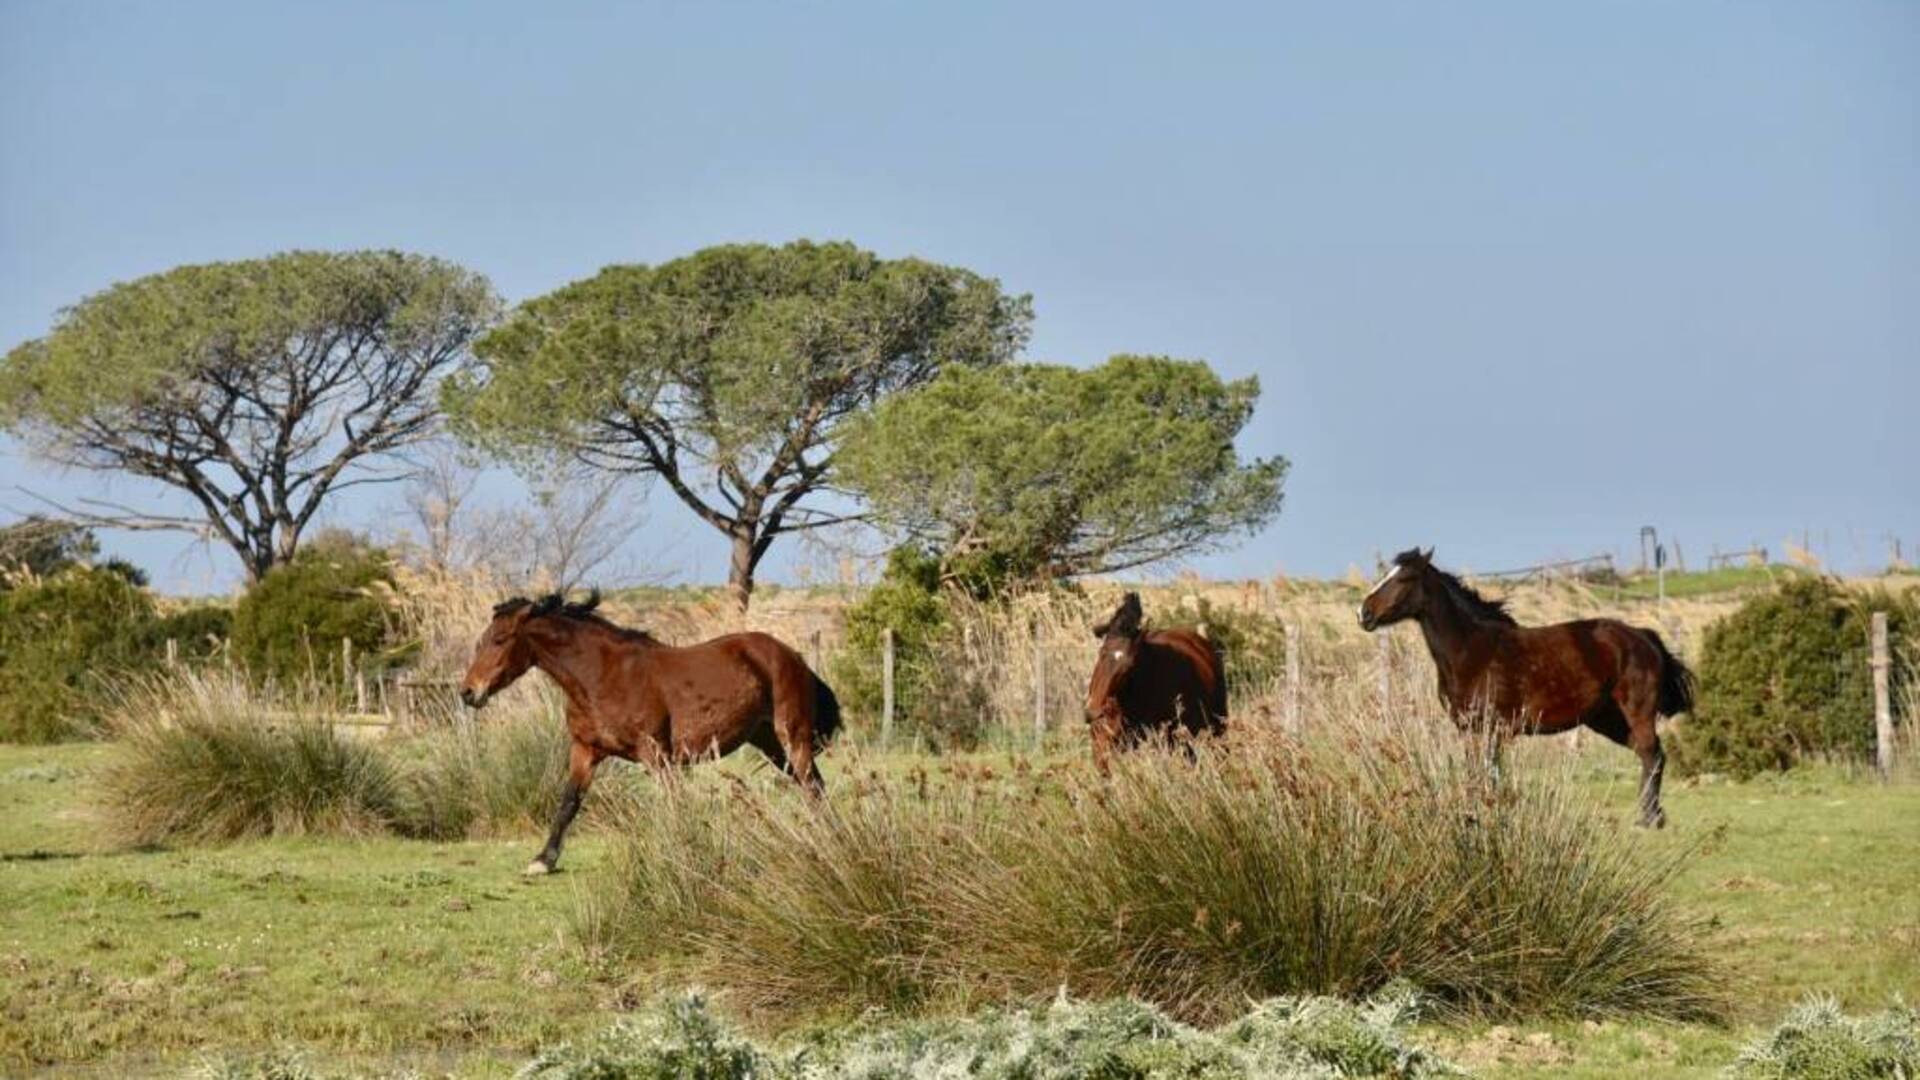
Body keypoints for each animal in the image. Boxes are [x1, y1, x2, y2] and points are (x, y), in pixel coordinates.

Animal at [456, 588, 840, 876]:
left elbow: (673, 806)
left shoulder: (656, 755)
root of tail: (792, 655)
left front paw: (682, 853)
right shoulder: (584, 750)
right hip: (769, 743)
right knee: (811, 785)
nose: (468, 692)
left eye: (500, 639)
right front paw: (543, 860)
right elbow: (569, 802)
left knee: (813, 785)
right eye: (482, 640)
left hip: (792, 736)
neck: (601, 676)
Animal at [1359, 545, 1689, 822]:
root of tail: (1644, 636)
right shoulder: (1469, 729)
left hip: (1637, 712)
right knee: (1648, 753)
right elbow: (1477, 774)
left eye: (1405, 578)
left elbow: (1489, 774)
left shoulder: (1493, 728)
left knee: (1651, 752)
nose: (1364, 613)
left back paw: (1649, 819)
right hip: (1606, 719)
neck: (1471, 651)